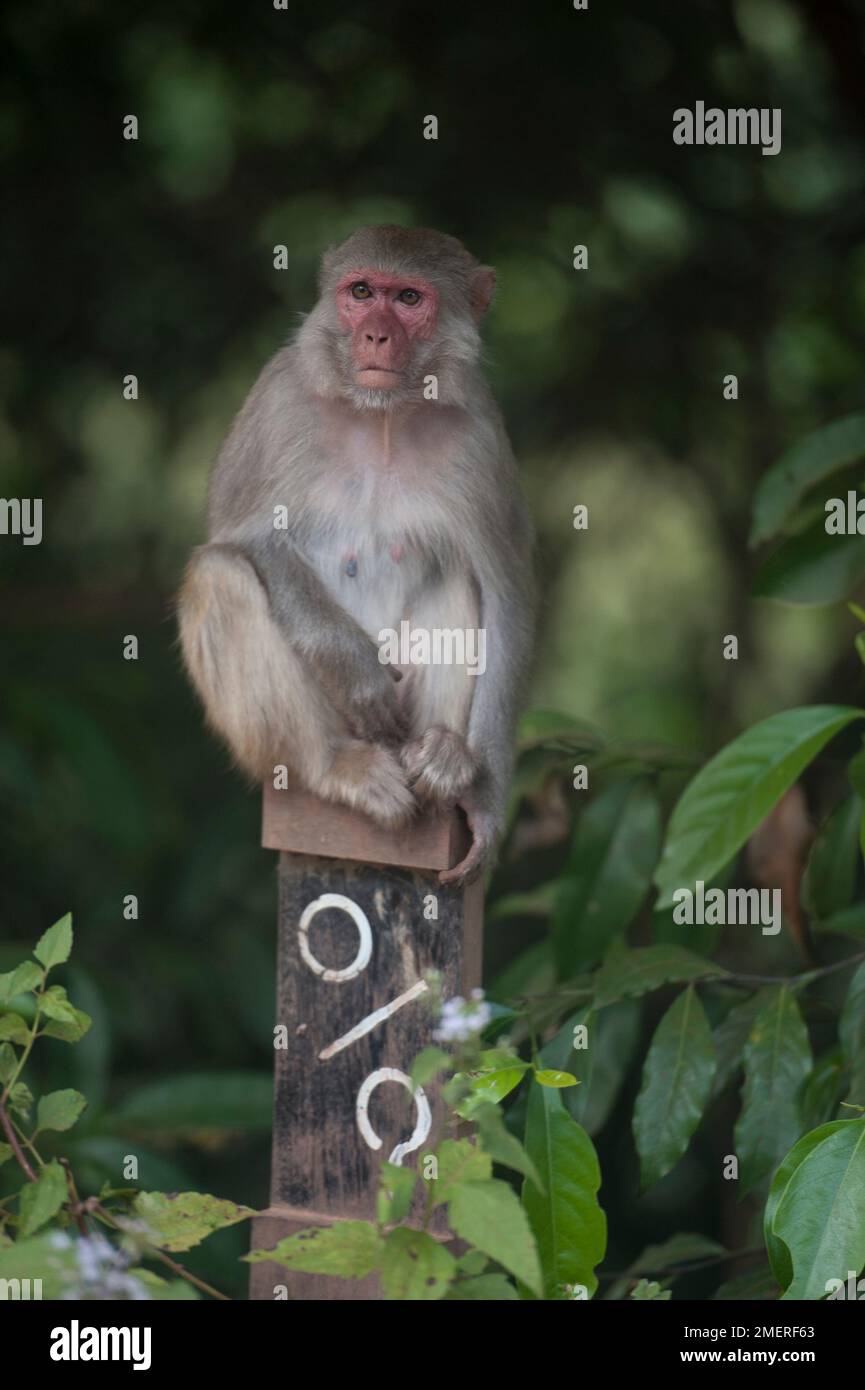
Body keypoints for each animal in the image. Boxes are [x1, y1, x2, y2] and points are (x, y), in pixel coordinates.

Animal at [178, 223, 536, 884]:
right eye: (362, 291)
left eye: (409, 299)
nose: (375, 334)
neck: (383, 418)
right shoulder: (280, 395)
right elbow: (242, 535)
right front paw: (358, 670)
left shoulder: (481, 436)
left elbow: (507, 595)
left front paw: (484, 801)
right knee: (218, 575)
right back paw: (335, 766)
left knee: (457, 573)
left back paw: (442, 754)